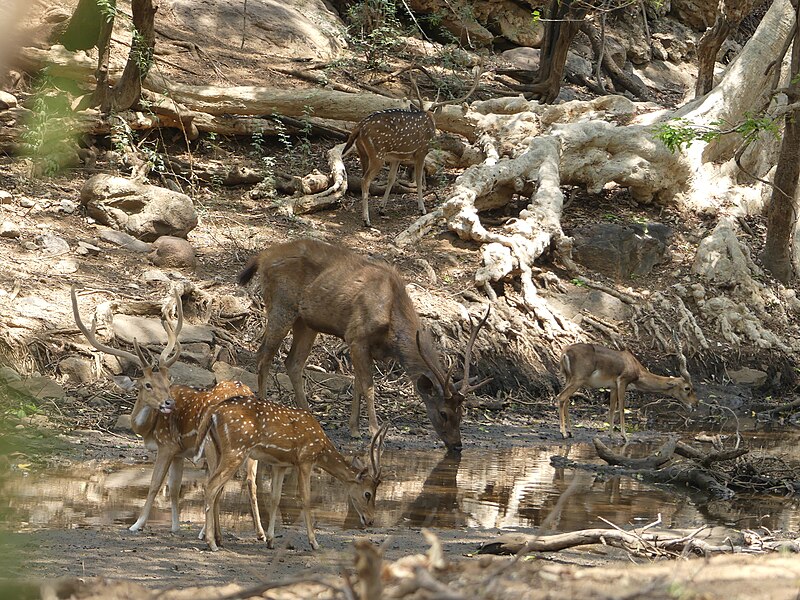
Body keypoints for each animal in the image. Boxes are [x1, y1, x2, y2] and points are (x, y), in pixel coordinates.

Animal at [70, 286, 264, 540]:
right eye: (148, 384)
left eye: (168, 380)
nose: (169, 403)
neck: (147, 429)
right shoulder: (180, 452)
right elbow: (173, 488)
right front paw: (174, 526)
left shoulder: (167, 445)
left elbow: (154, 485)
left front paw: (137, 524)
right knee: (250, 482)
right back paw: (257, 533)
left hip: (214, 445)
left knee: (217, 483)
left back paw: (208, 533)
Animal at [197, 396, 390, 552]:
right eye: (368, 493)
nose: (371, 520)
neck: (321, 448)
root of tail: (213, 413)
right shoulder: (305, 460)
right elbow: (305, 499)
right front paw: (314, 542)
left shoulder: (280, 464)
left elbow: (275, 498)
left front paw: (271, 541)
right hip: (236, 449)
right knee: (211, 486)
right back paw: (211, 543)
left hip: (218, 449)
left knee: (216, 489)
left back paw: (219, 539)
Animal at [238, 237, 488, 452]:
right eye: (444, 413)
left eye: (462, 413)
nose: (457, 445)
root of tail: (263, 257)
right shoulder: (356, 335)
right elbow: (368, 385)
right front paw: (374, 430)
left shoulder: (366, 346)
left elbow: (357, 383)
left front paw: (355, 429)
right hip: (281, 305)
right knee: (263, 355)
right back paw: (263, 410)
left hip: (307, 322)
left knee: (293, 362)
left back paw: (307, 415)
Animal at [344, 65, 482, 225]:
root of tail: (359, 127)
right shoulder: (421, 152)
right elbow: (418, 180)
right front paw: (422, 209)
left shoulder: (396, 157)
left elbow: (391, 179)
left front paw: (382, 208)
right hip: (377, 154)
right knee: (365, 180)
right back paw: (366, 219)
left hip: (362, 152)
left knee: (362, 177)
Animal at [552, 342, 696, 440]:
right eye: (687, 388)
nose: (695, 404)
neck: (635, 367)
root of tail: (565, 351)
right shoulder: (622, 382)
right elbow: (621, 407)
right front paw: (624, 436)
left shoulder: (613, 387)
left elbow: (611, 408)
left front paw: (611, 434)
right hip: (578, 380)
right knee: (561, 397)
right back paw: (563, 433)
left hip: (569, 379)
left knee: (566, 401)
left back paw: (571, 432)